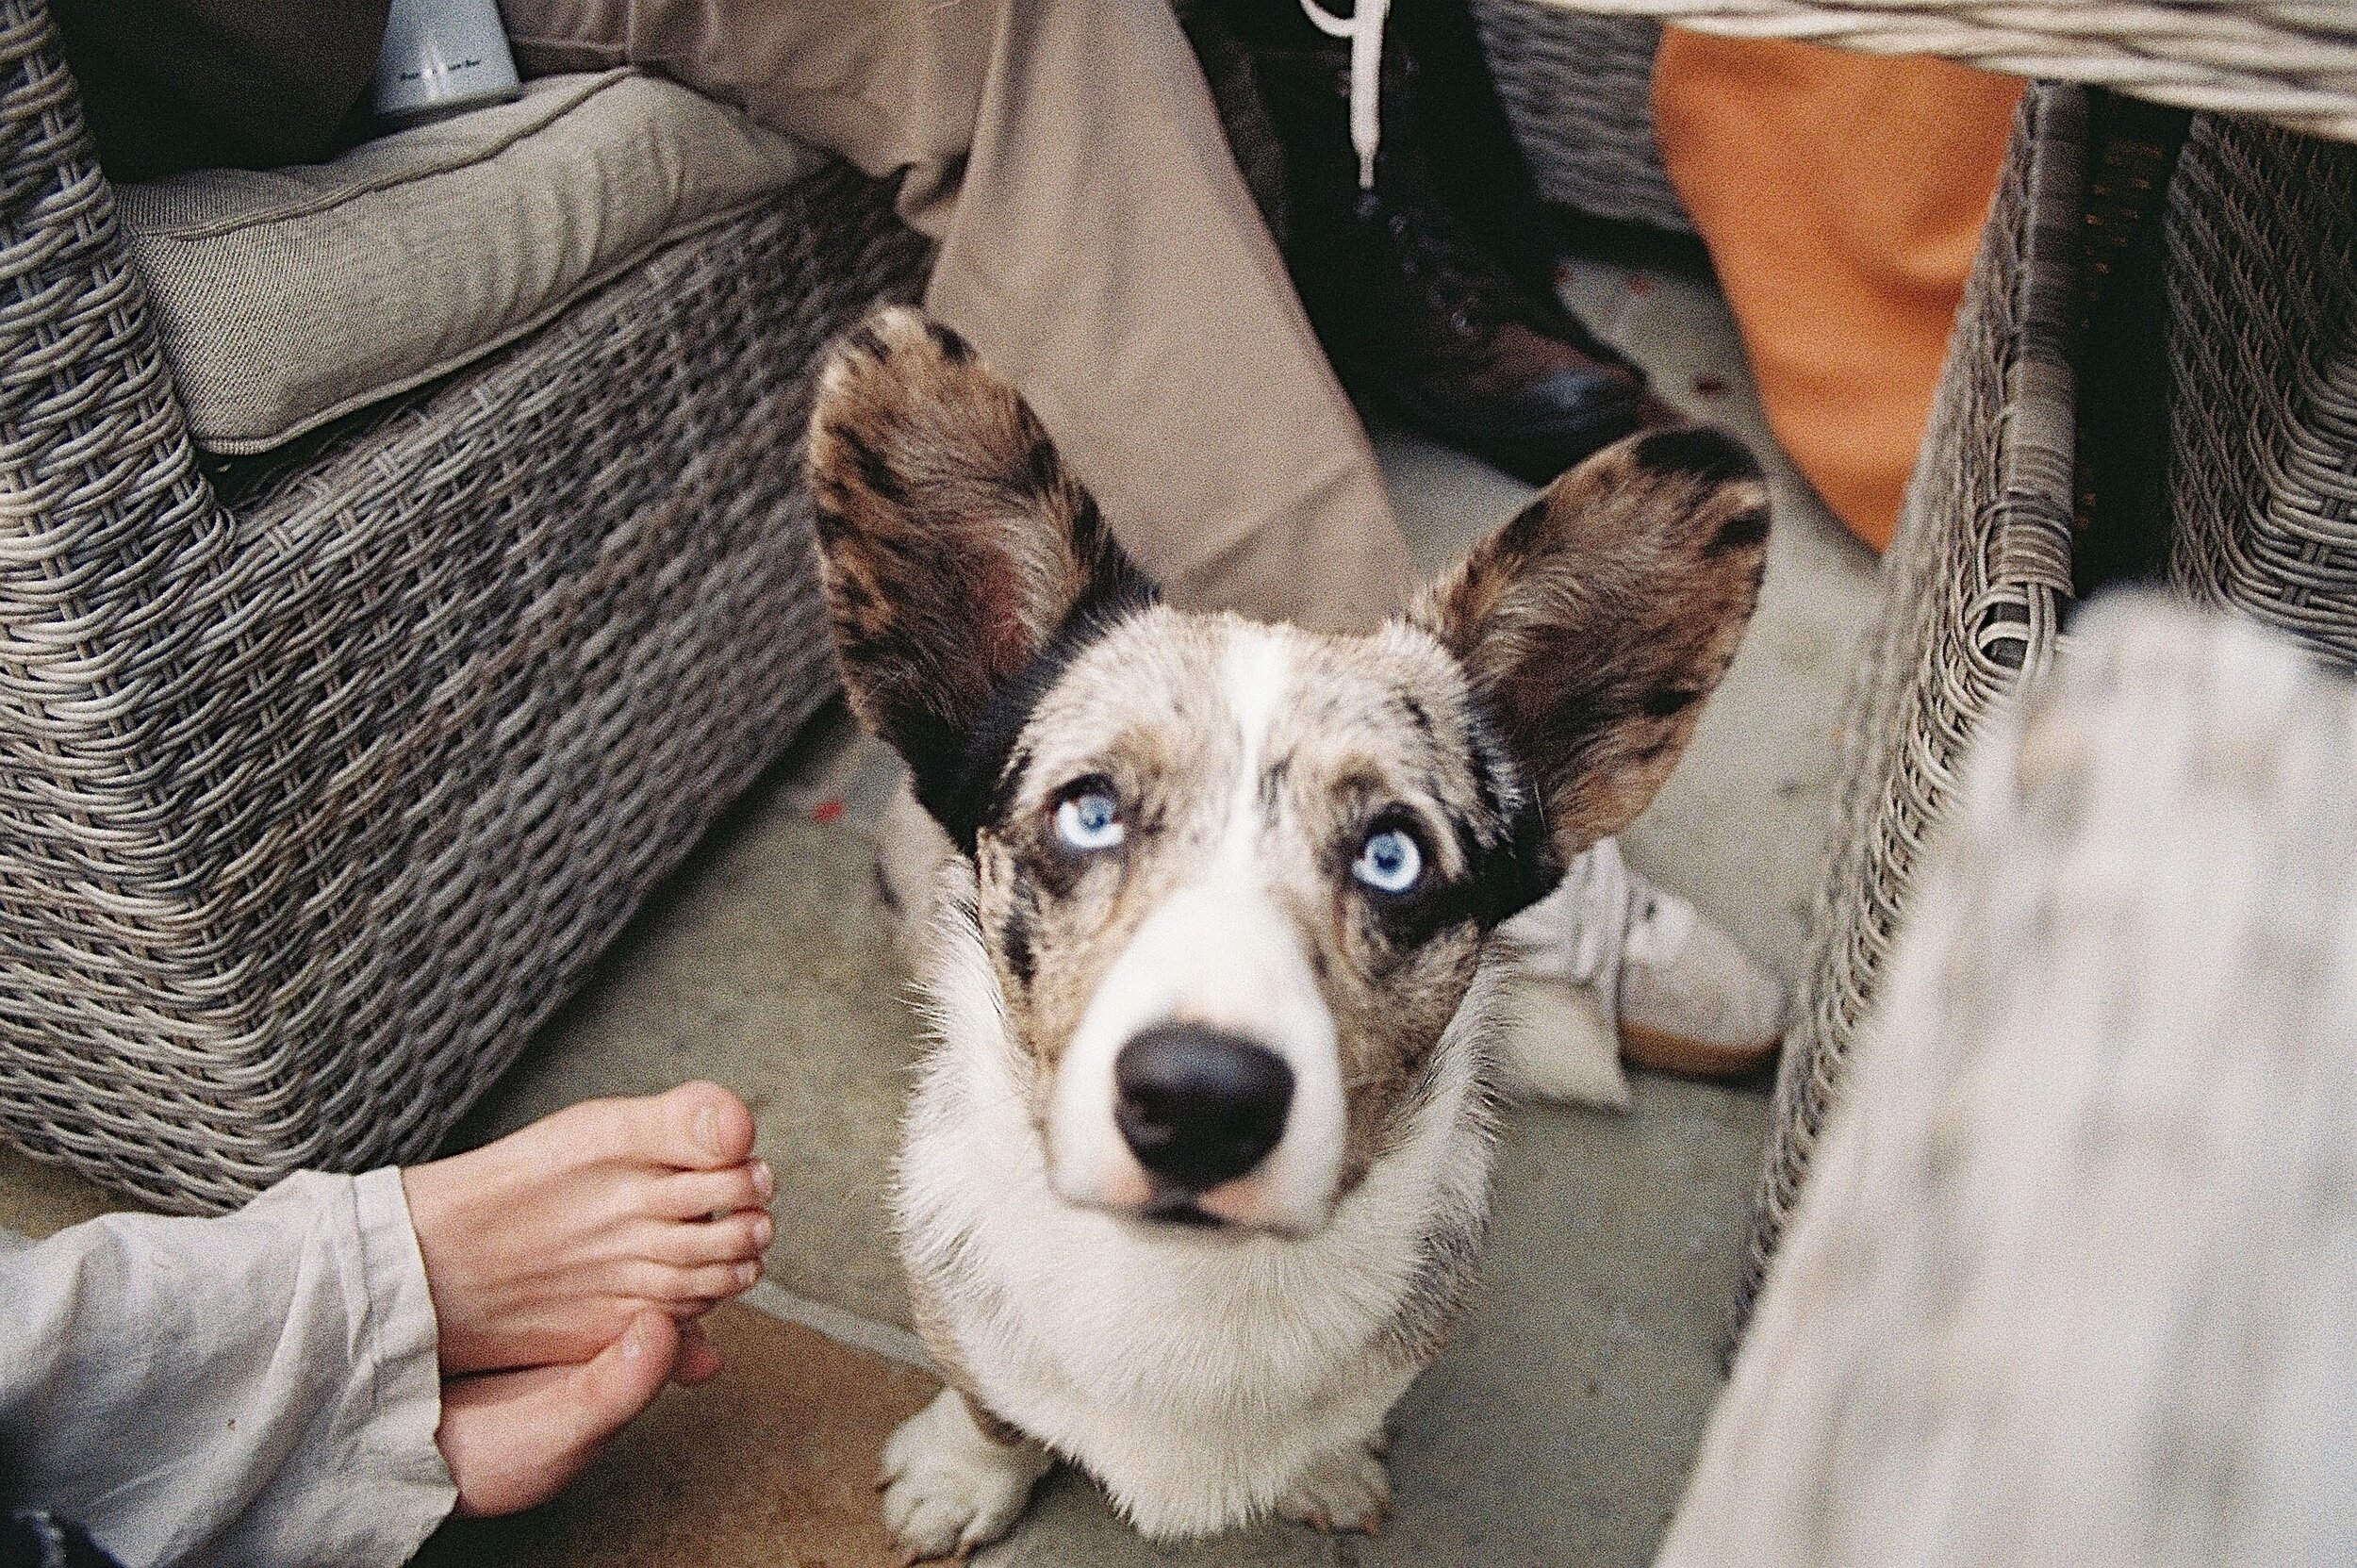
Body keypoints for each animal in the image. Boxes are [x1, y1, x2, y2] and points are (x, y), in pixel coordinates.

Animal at [801, 308, 1763, 1565]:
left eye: (1392, 856)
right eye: (1088, 810)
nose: (1202, 1099)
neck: (1188, 1286)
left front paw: (1332, 1470)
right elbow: (991, 1402)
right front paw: (960, 1479)